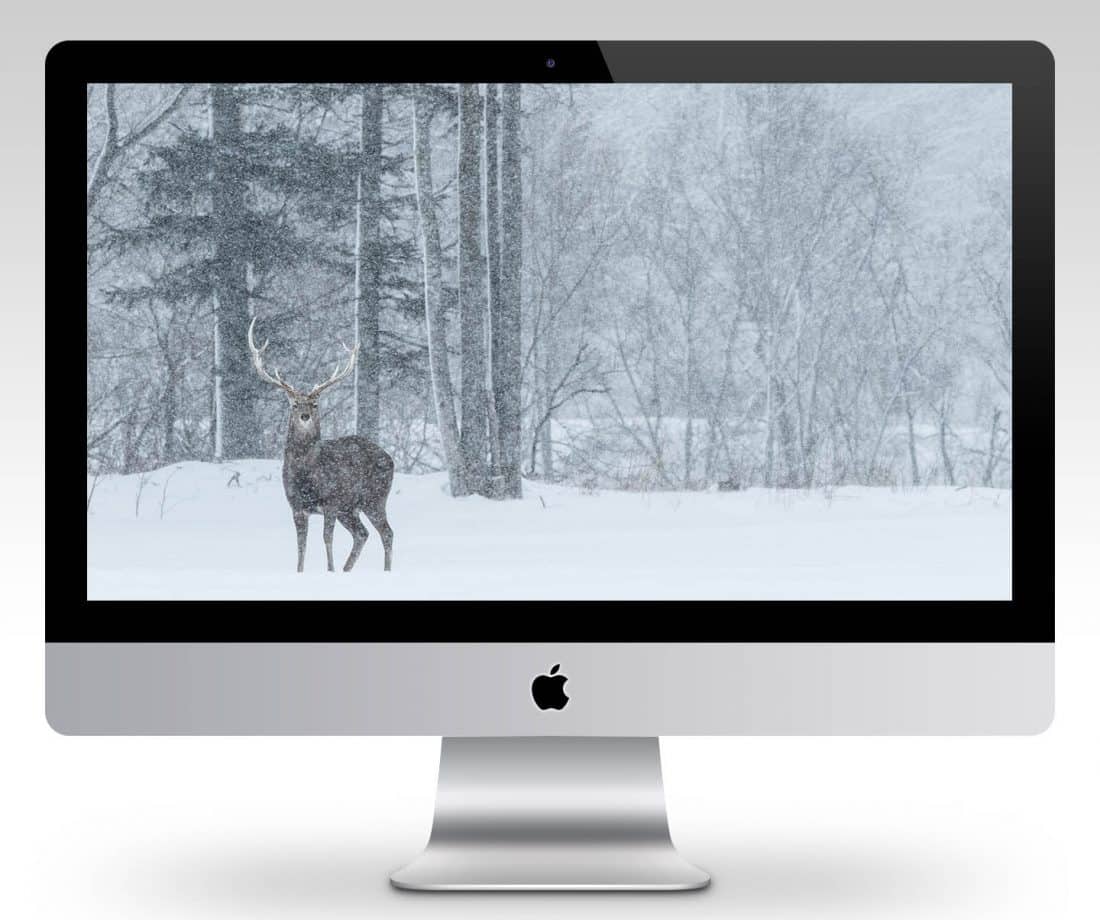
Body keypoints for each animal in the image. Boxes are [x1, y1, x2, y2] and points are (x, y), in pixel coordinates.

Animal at [247, 317, 394, 573]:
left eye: (314, 404)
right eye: (294, 404)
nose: (305, 416)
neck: (306, 475)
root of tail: (390, 458)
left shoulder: (331, 502)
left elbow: (327, 539)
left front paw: (330, 570)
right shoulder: (296, 506)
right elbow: (301, 545)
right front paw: (301, 571)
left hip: (374, 497)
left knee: (386, 532)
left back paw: (385, 571)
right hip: (350, 507)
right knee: (362, 533)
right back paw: (347, 569)